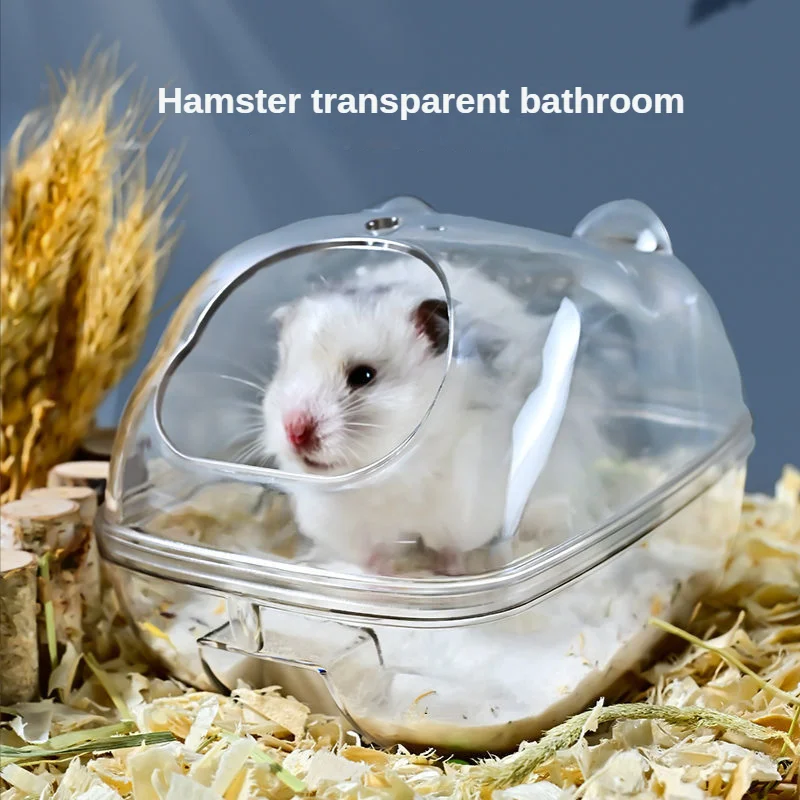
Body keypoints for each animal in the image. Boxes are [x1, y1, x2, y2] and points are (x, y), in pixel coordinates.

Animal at [261, 257, 613, 574]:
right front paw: (383, 579)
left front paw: (449, 572)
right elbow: (372, 557)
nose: (294, 432)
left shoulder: (464, 507)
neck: (390, 477)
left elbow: (451, 548)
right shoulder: (348, 527)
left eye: (363, 375)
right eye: (285, 370)